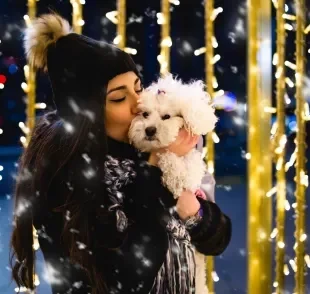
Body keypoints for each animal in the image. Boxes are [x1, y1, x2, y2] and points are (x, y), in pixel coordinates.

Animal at [128, 74, 218, 294]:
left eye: (167, 116)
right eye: (144, 114)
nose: (150, 130)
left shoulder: (193, 164)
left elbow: (188, 168)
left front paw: (178, 177)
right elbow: (168, 157)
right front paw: (174, 174)